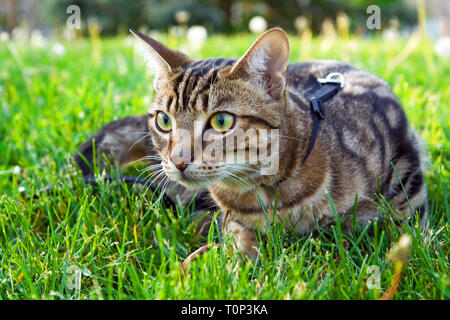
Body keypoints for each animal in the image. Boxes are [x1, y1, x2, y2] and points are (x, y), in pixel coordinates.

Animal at [74, 27, 428, 260]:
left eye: (221, 121)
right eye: (163, 120)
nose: (178, 161)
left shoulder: (405, 166)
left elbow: (410, 228)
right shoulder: (235, 219)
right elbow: (239, 241)